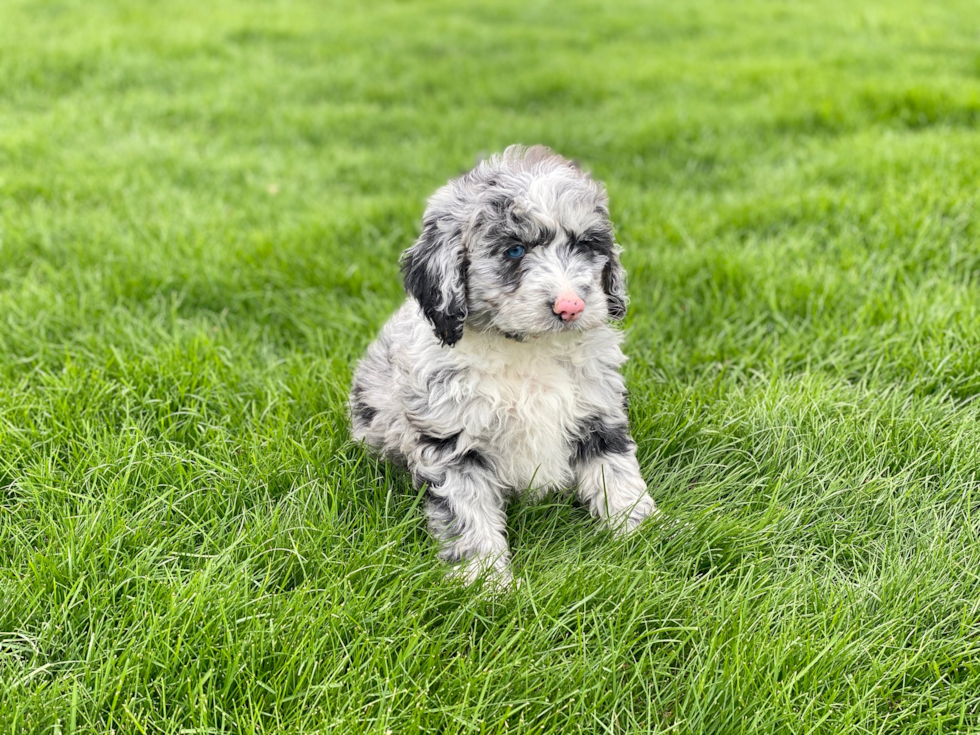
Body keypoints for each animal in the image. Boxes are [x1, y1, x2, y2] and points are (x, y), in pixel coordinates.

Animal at [352, 147, 660, 588]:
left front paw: (643, 535)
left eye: (585, 244)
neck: (528, 349)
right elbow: (468, 512)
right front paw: (486, 583)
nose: (571, 306)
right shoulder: (451, 441)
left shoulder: (598, 413)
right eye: (514, 250)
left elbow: (616, 473)